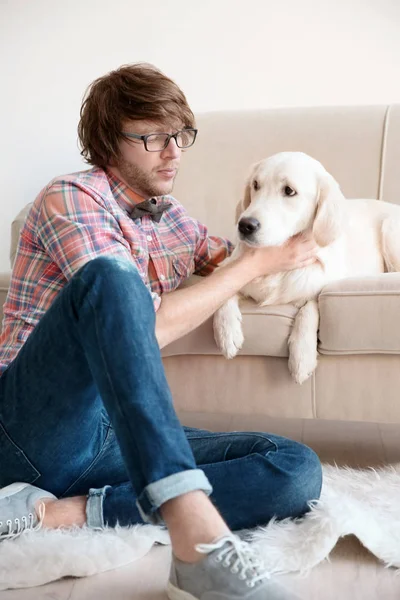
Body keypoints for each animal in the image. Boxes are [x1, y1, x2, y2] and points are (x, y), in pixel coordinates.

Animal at [214, 152, 400, 382]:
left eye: (289, 191)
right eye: (256, 184)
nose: (245, 225)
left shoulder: (323, 285)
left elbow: (310, 306)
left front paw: (302, 356)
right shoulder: (229, 268)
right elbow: (222, 289)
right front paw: (227, 333)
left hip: (390, 227)